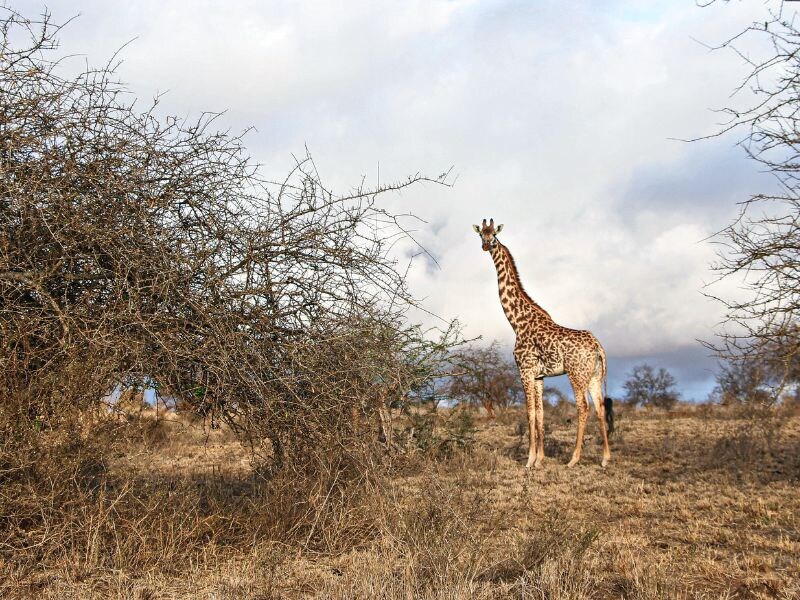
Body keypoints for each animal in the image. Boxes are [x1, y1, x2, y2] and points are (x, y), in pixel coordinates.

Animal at [472, 219, 608, 468]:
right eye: (481, 235)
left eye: (494, 235)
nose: (486, 246)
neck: (516, 322)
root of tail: (597, 346)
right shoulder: (539, 375)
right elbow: (541, 413)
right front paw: (540, 459)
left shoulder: (524, 370)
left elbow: (530, 413)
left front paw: (529, 460)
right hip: (594, 375)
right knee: (600, 407)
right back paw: (605, 458)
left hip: (576, 374)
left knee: (583, 407)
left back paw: (573, 459)